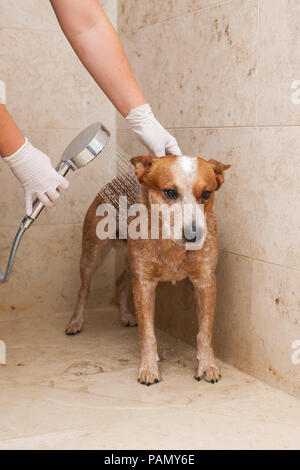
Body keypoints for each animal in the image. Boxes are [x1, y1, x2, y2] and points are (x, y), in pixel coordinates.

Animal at [65, 154, 230, 386]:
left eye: (206, 194)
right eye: (170, 192)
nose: (194, 233)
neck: (172, 247)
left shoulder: (205, 281)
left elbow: (205, 332)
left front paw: (207, 366)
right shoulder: (144, 283)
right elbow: (148, 334)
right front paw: (149, 369)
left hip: (131, 261)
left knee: (120, 282)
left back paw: (125, 315)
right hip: (93, 254)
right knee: (84, 290)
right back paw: (75, 322)